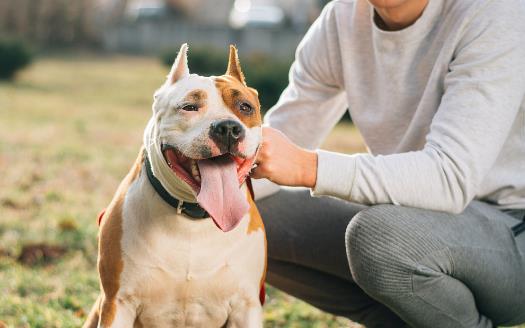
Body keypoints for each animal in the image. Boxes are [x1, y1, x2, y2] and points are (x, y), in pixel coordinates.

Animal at [84, 44, 268, 328]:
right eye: (189, 106)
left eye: (245, 107)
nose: (228, 127)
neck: (192, 219)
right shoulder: (118, 302)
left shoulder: (246, 306)